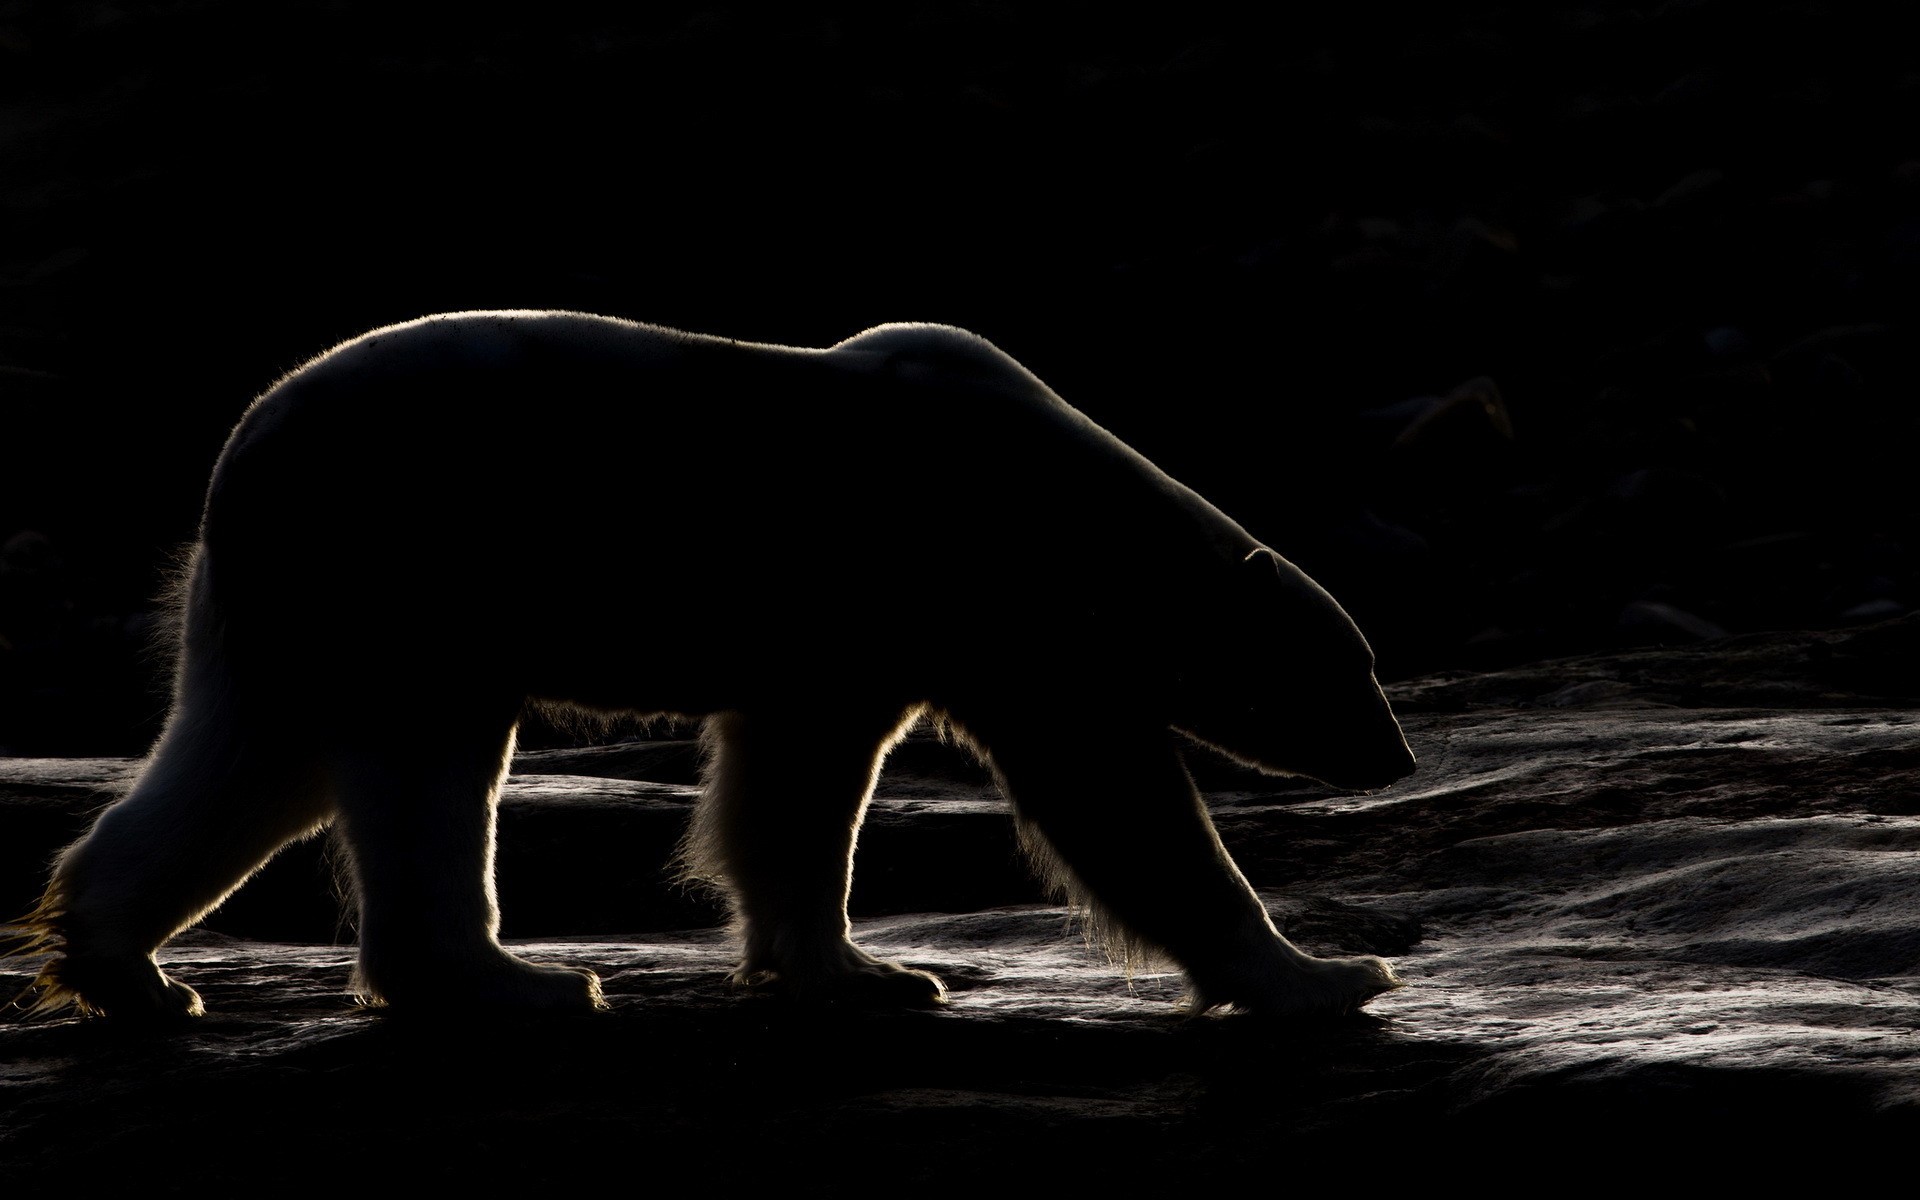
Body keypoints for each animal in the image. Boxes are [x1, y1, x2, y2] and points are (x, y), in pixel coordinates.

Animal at [7, 311, 1416, 1021]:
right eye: (1354, 669)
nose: (1396, 755)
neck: (1074, 502)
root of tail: (245, 447)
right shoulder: (979, 591)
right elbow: (1114, 796)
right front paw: (1327, 975)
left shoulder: (852, 639)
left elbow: (793, 786)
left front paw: (860, 968)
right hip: (416, 560)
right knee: (419, 768)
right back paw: (514, 982)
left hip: (289, 600)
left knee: (247, 759)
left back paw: (125, 965)